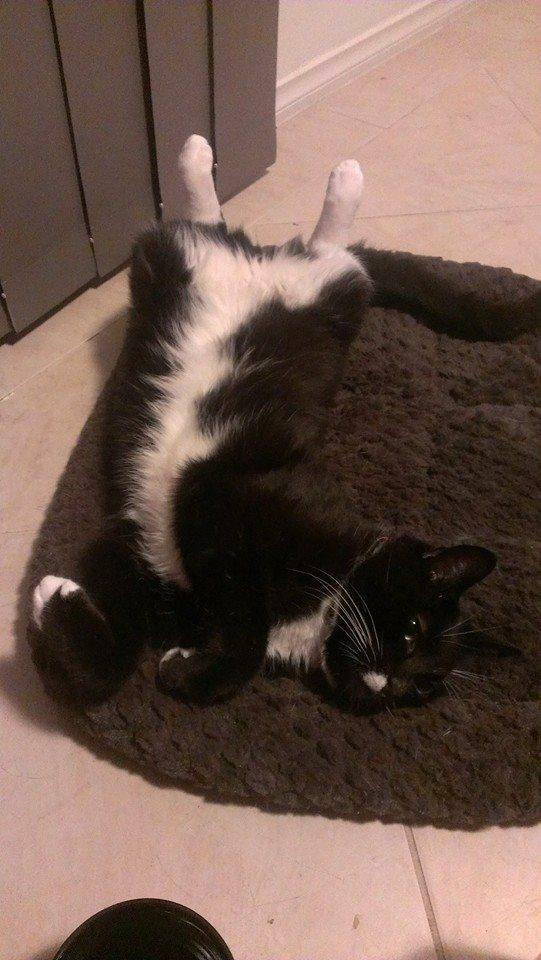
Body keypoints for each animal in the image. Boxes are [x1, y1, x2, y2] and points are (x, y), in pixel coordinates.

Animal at [30, 135, 516, 708]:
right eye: (412, 630)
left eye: (421, 686)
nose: (385, 681)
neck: (320, 610)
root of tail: (261, 260)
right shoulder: (212, 498)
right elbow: (244, 629)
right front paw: (54, 595)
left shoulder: (146, 561)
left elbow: (115, 666)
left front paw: (64, 602)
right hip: (230, 283)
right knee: (311, 243)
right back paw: (321, 174)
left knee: (256, 234)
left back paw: (209, 165)